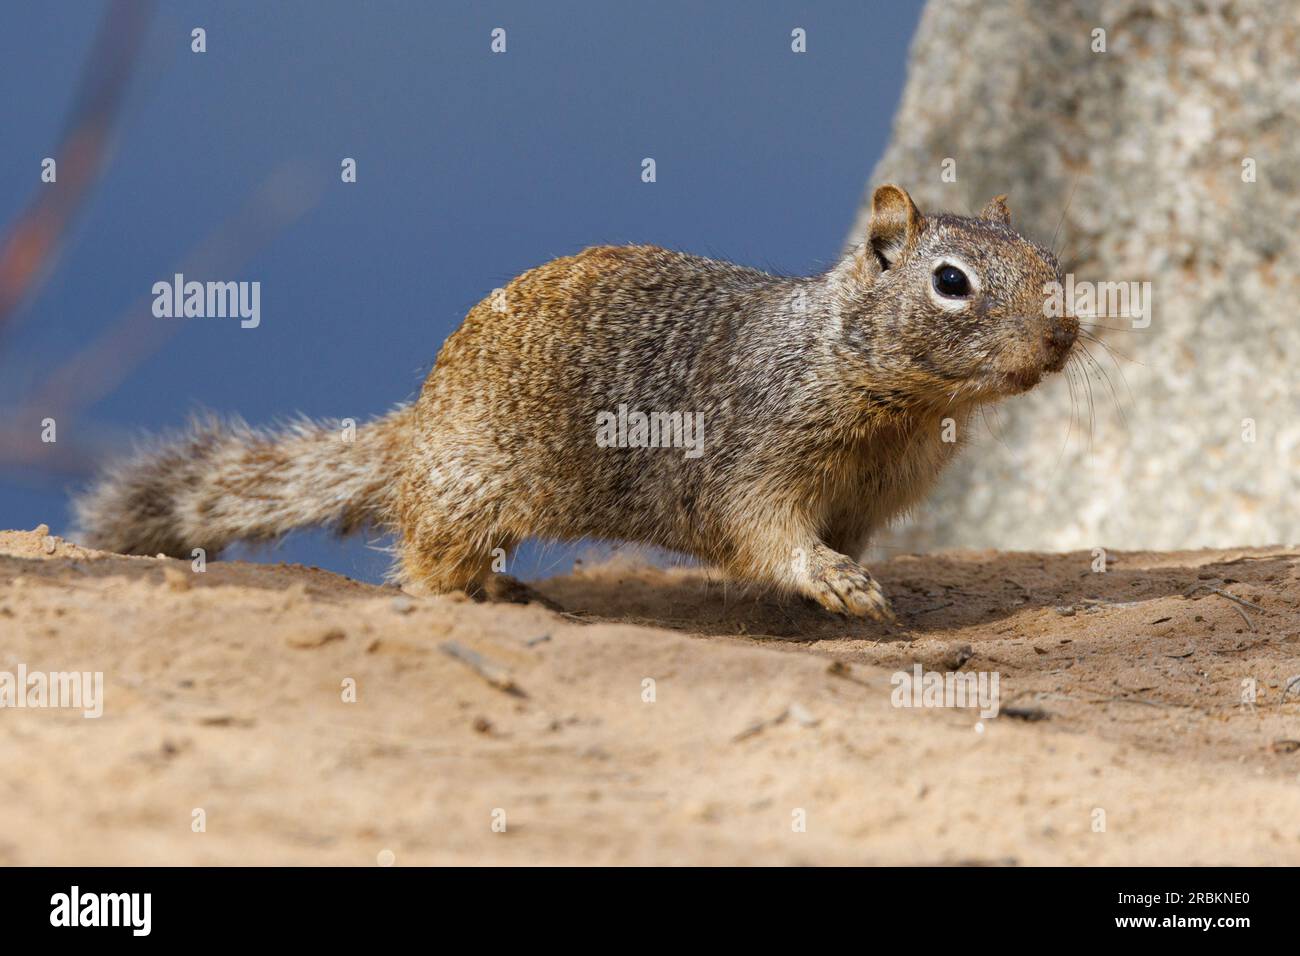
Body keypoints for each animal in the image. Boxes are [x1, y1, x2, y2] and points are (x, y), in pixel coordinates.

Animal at [76, 185, 1081, 621]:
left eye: (1049, 260)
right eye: (950, 282)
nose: (1063, 335)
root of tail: (415, 430)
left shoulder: (868, 497)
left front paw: (844, 584)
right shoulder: (762, 456)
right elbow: (768, 533)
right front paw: (834, 583)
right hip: (472, 490)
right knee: (423, 559)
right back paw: (478, 591)